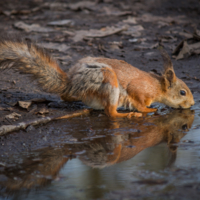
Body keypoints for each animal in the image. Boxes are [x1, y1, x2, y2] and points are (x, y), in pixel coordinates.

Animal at [0, 38, 195, 118]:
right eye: (183, 92)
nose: (193, 104)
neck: (156, 86)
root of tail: (72, 84)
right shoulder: (139, 90)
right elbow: (139, 101)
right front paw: (149, 109)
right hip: (107, 81)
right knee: (111, 113)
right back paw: (128, 114)